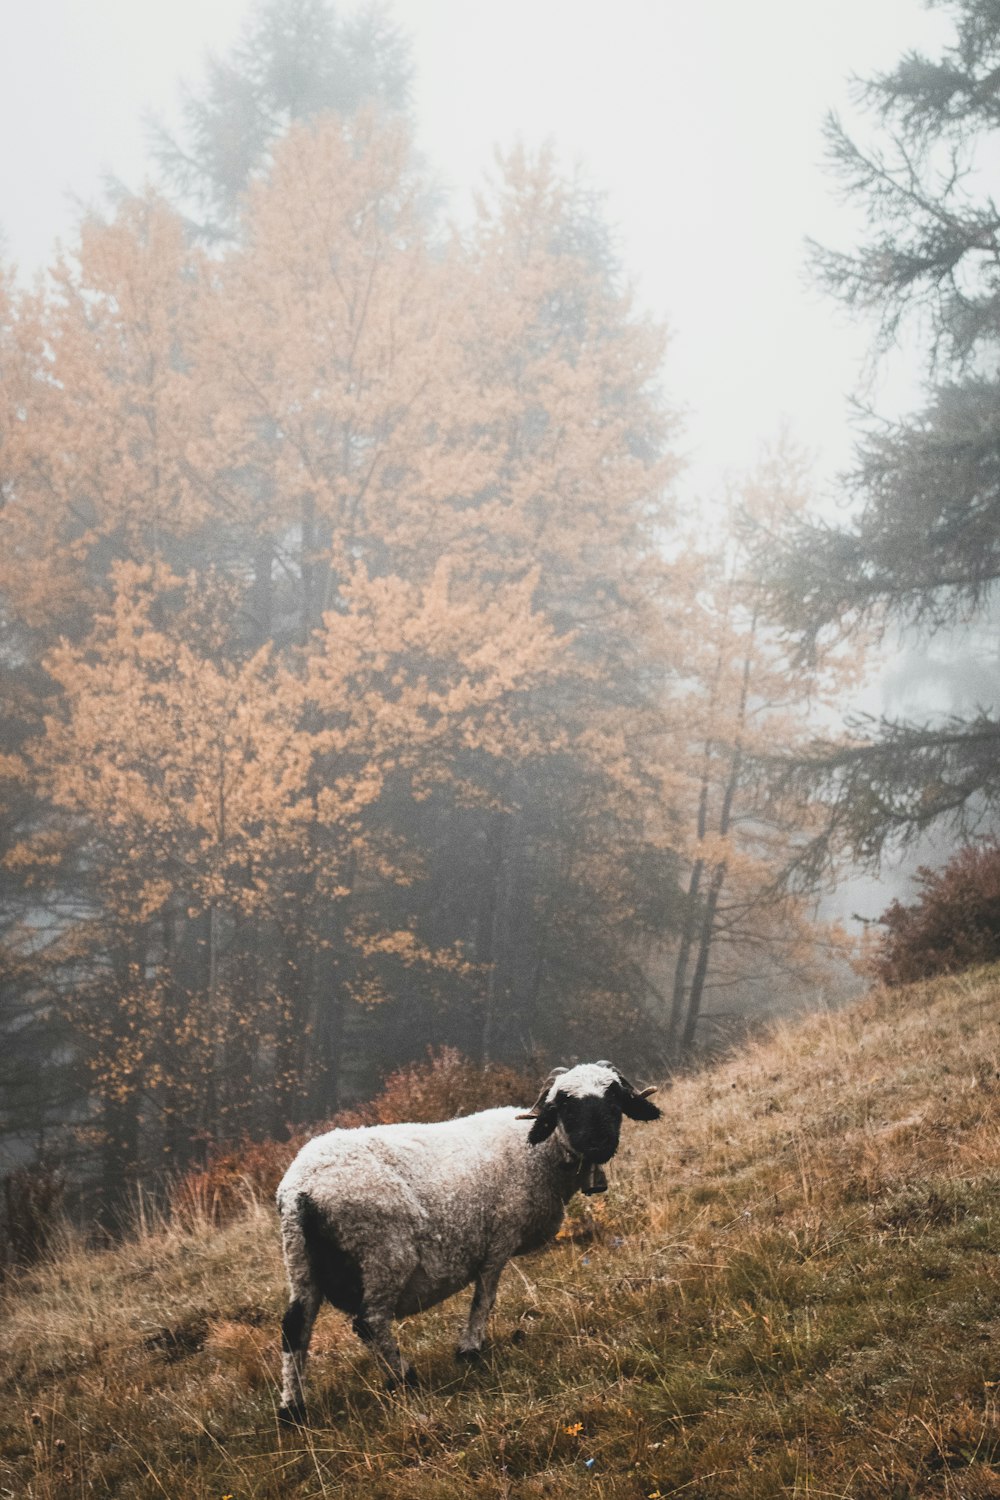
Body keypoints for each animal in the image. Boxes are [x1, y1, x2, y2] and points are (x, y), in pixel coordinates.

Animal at [277, 1056, 659, 1416]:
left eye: (614, 1097)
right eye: (565, 1104)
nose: (598, 1144)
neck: (538, 1154)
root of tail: (303, 1188)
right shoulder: (500, 1237)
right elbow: (484, 1298)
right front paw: (469, 1349)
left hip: (300, 1259)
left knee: (295, 1327)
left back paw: (293, 1410)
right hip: (381, 1252)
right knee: (370, 1322)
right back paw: (404, 1377)